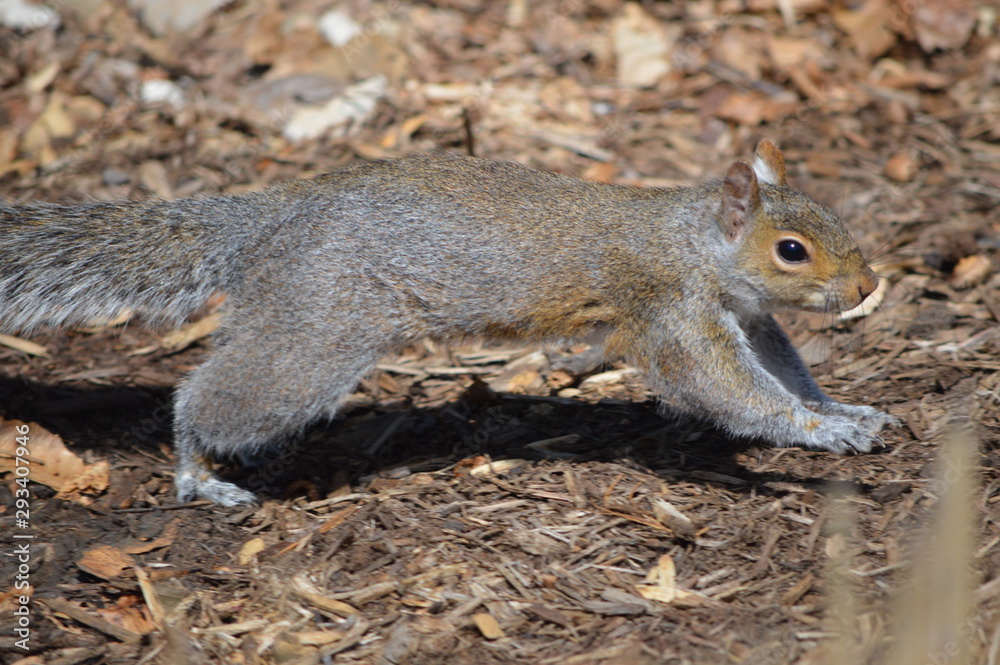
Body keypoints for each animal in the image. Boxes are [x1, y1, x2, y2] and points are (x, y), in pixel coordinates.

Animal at [0, 140, 896, 506]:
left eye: (834, 216)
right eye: (790, 249)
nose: (866, 284)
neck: (693, 239)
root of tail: (270, 217)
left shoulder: (749, 318)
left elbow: (785, 370)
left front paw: (841, 407)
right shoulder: (668, 310)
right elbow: (724, 391)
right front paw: (823, 434)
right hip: (319, 326)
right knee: (207, 401)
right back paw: (197, 471)